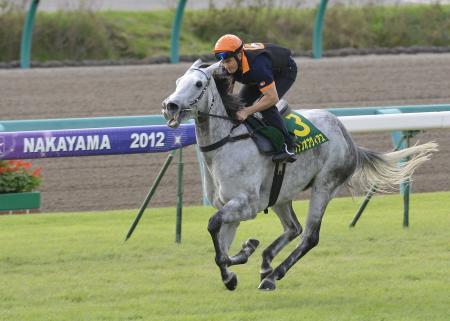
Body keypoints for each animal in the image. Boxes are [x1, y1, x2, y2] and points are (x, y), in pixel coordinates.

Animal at [163, 59, 438, 290]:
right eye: (177, 81)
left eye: (198, 84)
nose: (170, 106)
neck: (226, 142)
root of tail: (347, 137)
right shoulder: (230, 206)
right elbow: (222, 244)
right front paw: (239, 260)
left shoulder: (246, 205)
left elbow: (214, 229)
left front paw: (234, 269)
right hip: (280, 195)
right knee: (293, 227)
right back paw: (266, 263)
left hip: (324, 186)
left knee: (309, 236)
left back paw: (273, 276)